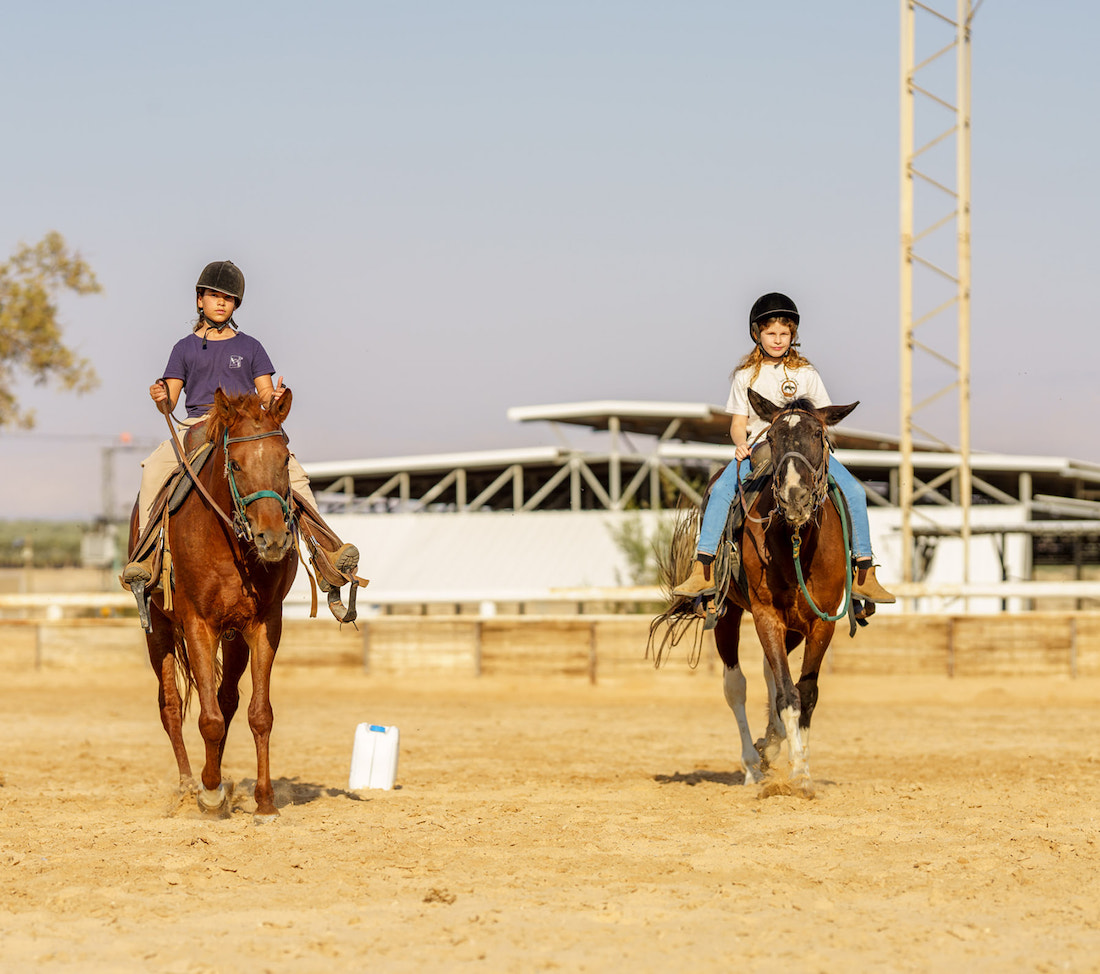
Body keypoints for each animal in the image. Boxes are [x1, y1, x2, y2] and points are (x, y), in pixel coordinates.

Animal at [129, 387, 297, 818]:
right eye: (235, 464)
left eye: (285, 459)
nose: (272, 538)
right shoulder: (197, 624)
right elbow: (208, 719)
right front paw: (209, 794)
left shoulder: (264, 625)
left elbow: (259, 714)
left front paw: (265, 801)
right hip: (159, 628)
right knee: (171, 706)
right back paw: (191, 783)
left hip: (234, 637)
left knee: (228, 700)